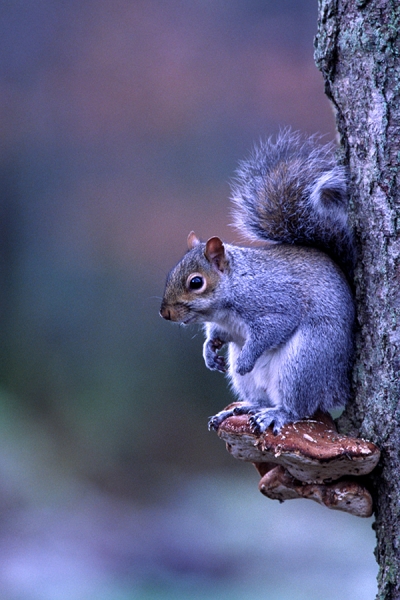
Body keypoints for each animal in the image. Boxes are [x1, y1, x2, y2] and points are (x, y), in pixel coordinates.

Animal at [161, 130, 354, 432]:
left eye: (196, 283)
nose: (165, 313)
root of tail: (338, 388)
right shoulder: (225, 325)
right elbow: (217, 335)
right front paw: (209, 352)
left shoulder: (273, 301)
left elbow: (273, 328)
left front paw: (246, 359)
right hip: (256, 382)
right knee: (261, 399)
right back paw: (244, 408)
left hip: (305, 361)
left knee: (300, 407)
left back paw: (278, 413)